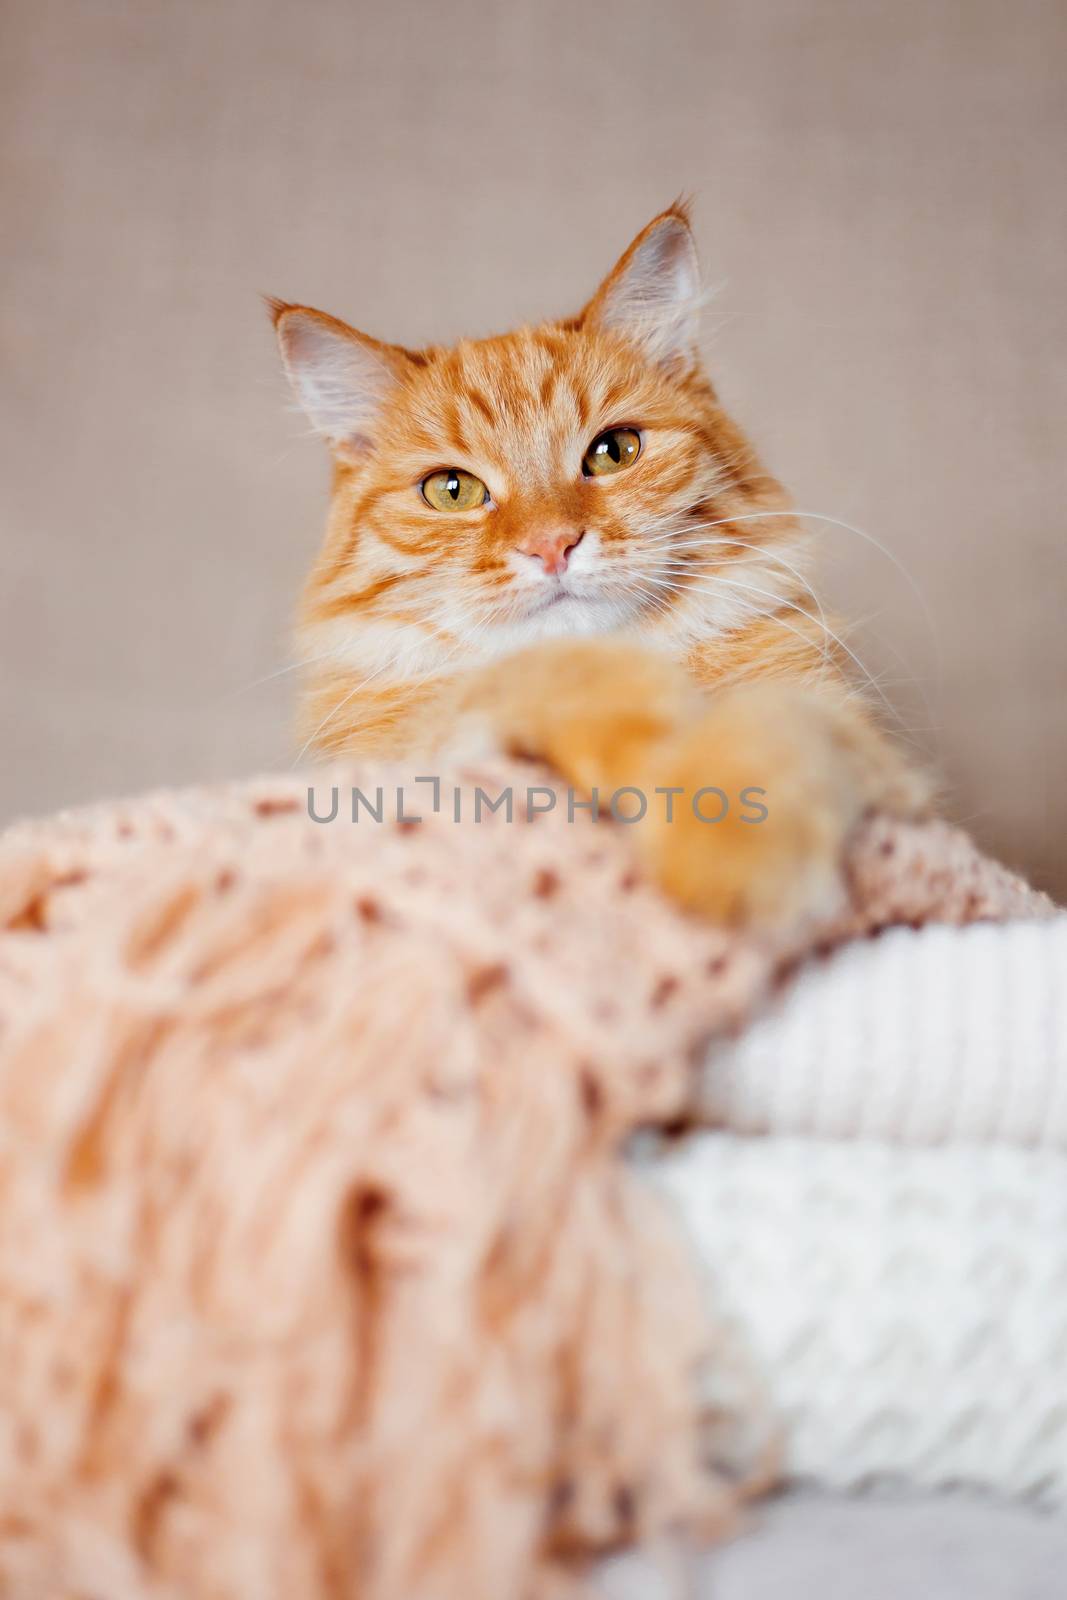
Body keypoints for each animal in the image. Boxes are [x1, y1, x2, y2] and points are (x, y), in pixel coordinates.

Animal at [273, 208, 927, 928]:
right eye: (452, 491)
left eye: (614, 452)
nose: (552, 545)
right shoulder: (391, 752)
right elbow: (532, 673)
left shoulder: (860, 743)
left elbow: (770, 730)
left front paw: (733, 848)